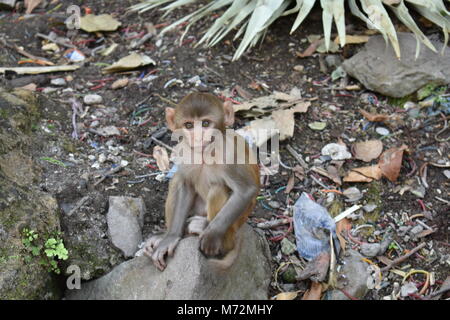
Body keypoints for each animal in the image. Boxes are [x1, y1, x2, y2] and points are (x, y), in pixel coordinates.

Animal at [144, 92, 260, 270]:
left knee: (218, 189)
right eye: (189, 125)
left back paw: (215, 237)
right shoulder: (183, 151)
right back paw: (166, 235)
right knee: (177, 179)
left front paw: (211, 236)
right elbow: (186, 184)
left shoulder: (229, 155)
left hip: (233, 226)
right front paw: (171, 237)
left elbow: (246, 190)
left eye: (205, 123)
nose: (198, 137)